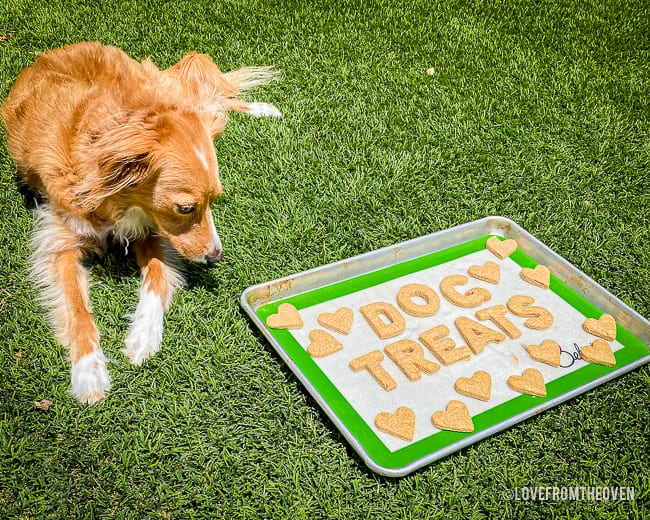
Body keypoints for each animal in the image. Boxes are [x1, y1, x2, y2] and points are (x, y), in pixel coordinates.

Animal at [2, 42, 280, 404]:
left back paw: (265, 108)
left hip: (177, 97)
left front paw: (144, 337)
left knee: (212, 99)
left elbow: (157, 280)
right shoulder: (59, 242)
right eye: (186, 208)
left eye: (214, 201)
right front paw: (88, 371)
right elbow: (78, 312)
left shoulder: (155, 231)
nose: (216, 257)